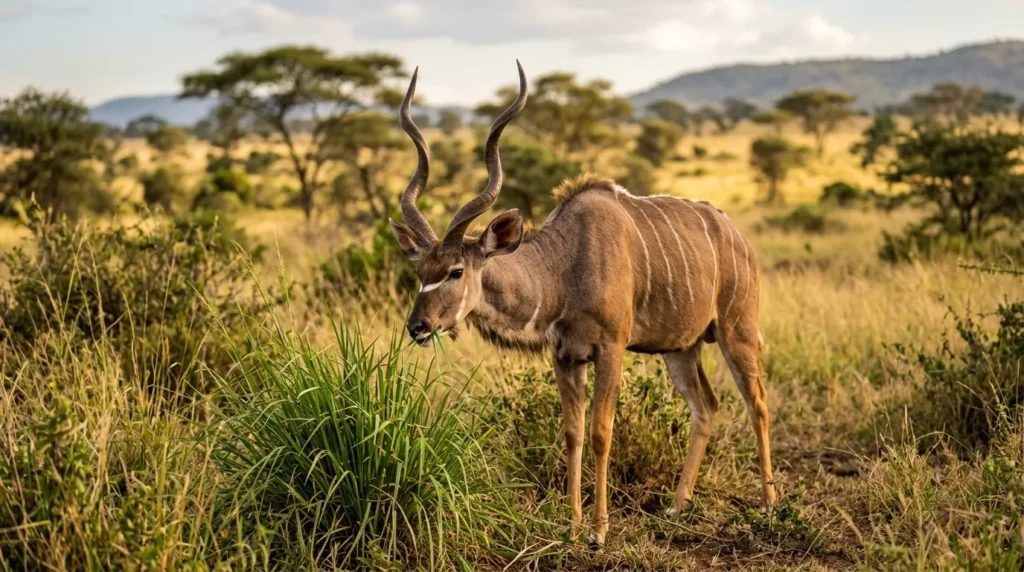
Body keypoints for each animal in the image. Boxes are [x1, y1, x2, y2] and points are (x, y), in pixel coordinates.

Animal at [389, 62, 777, 547]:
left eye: (456, 271)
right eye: (420, 271)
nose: (417, 326)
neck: (565, 266)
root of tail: (737, 237)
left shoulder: (611, 349)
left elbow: (600, 432)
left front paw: (598, 530)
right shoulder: (566, 356)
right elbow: (572, 432)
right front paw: (571, 523)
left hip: (735, 330)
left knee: (757, 402)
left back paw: (769, 505)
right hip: (680, 349)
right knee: (706, 406)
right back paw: (677, 506)